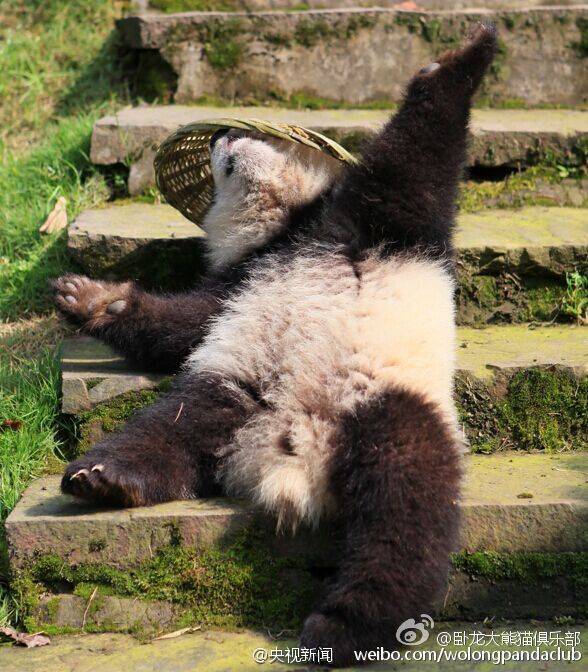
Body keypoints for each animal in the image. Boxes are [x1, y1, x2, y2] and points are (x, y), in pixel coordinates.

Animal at [53, 25, 497, 666]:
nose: (222, 133)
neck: (286, 228)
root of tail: (293, 452)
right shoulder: (246, 282)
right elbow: (186, 324)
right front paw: (90, 299)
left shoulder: (367, 226)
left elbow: (412, 164)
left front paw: (467, 51)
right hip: (238, 389)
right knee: (169, 430)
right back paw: (105, 477)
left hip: (392, 407)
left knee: (407, 512)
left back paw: (343, 628)